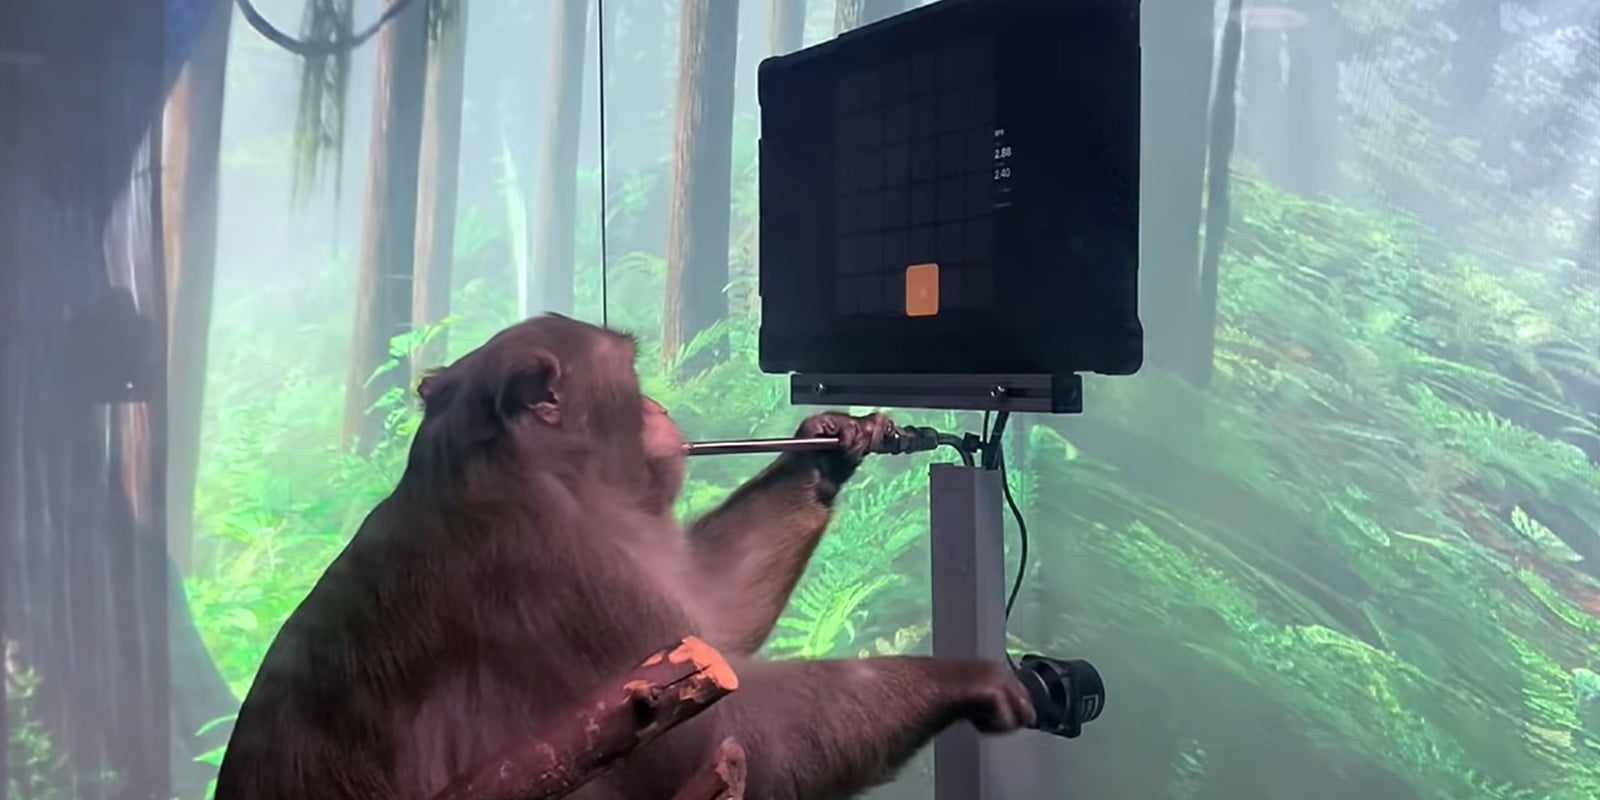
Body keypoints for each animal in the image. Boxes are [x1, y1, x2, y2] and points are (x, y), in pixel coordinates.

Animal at [214, 313, 1034, 800]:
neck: (525, 473)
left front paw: (832, 443)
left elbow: (713, 619)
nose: (658, 408)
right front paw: (963, 677)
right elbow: (738, 732)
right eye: (633, 378)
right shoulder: (557, 569)